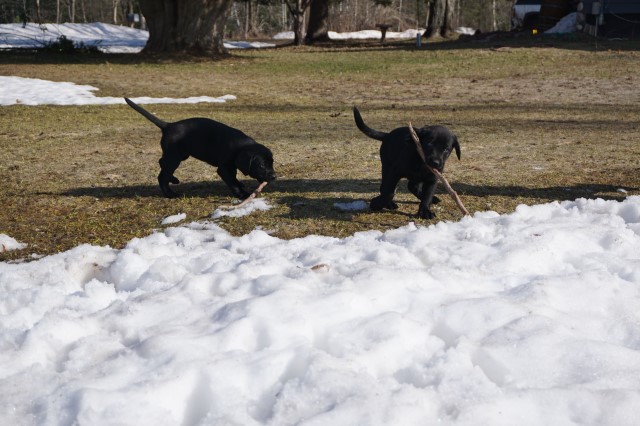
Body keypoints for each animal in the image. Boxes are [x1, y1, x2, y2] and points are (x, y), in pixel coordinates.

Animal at [124, 98, 276, 200]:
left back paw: (174, 180)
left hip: (179, 155)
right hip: (174, 157)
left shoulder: (232, 166)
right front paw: (242, 194)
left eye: (272, 163)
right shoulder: (224, 168)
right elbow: (232, 182)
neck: (240, 146)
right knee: (162, 176)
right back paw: (171, 194)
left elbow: (234, 178)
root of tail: (168, 125)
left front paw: (241, 186)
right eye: (262, 165)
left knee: (162, 163)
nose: (274, 176)